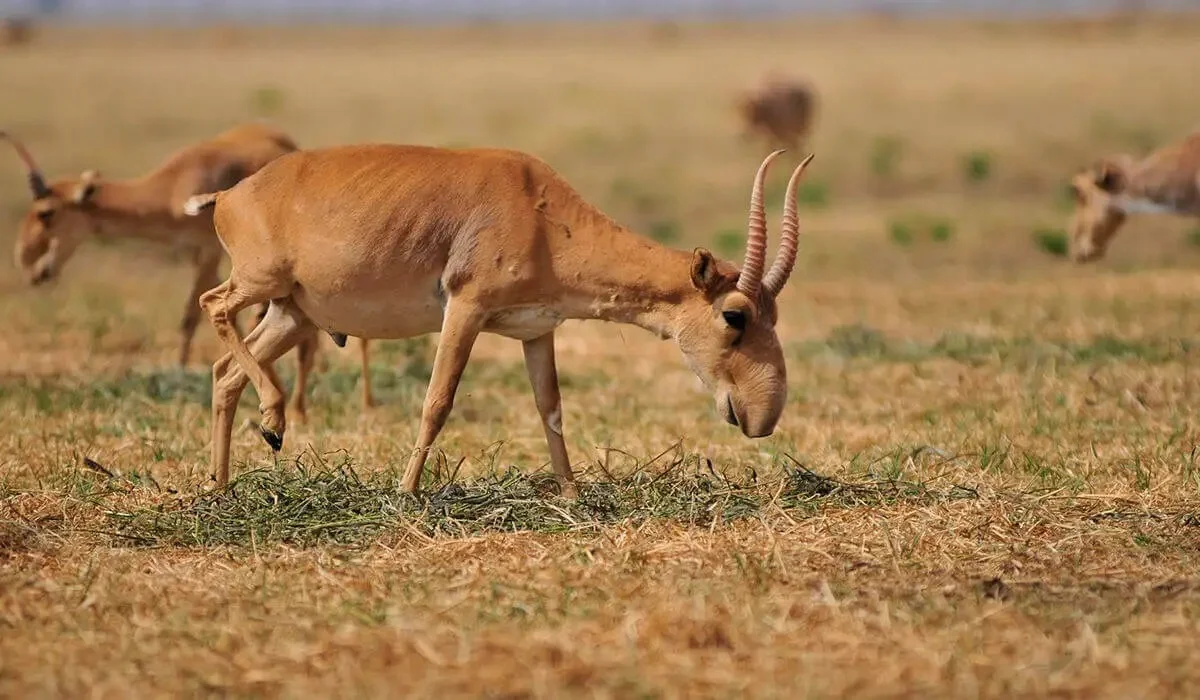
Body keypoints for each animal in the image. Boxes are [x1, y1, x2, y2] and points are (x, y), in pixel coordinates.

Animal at [1, 123, 374, 420]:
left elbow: (192, 316)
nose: (28, 264)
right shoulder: (199, 256)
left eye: (46, 212)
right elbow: (209, 318)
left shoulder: (208, 252)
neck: (173, 186)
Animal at [184, 144, 816, 499]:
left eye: (774, 313)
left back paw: (220, 487)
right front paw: (407, 493)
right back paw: (272, 421)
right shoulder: (465, 310)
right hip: (261, 285)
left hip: (292, 314)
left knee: (223, 375)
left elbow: (551, 408)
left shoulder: (536, 330)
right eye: (735, 314)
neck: (539, 207)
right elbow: (437, 401)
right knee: (214, 306)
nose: (762, 416)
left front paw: (571, 494)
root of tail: (230, 194)